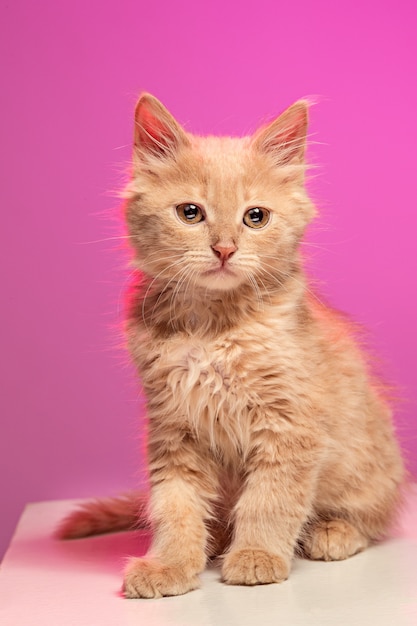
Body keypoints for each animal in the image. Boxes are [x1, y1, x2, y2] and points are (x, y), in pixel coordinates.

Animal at [58, 92, 404, 596]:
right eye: (190, 213)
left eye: (255, 217)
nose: (224, 249)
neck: (213, 328)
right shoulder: (174, 428)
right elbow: (175, 506)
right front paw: (171, 564)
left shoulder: (290, 424)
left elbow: (270, 499)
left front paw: (257, 556)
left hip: (369, 466)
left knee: (371, 518)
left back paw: (331, 532)